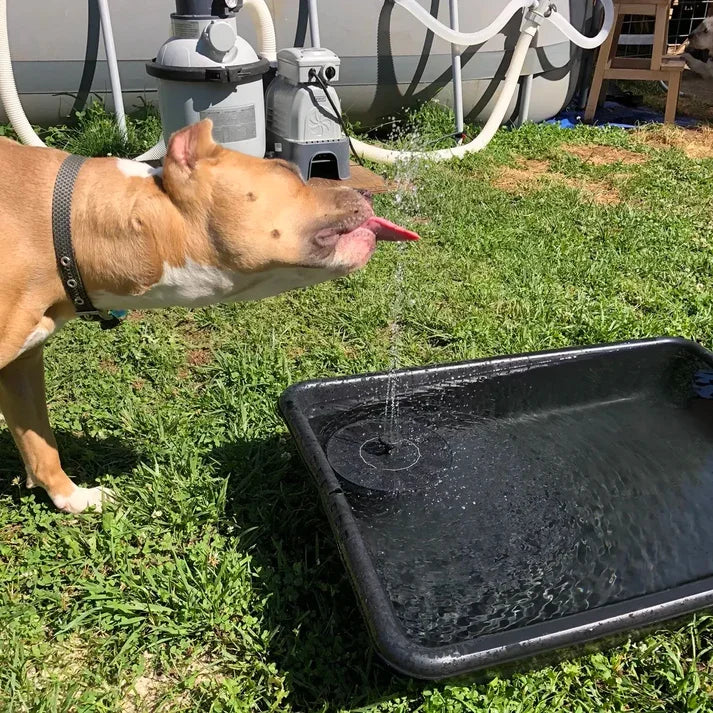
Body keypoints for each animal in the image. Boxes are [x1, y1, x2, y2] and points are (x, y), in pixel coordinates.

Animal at [0, 121, 418, 512]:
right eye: (286, 169)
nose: (366, 192)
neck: (71, 228)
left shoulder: (22, 364)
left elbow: (40, 443)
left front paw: (73, 498)